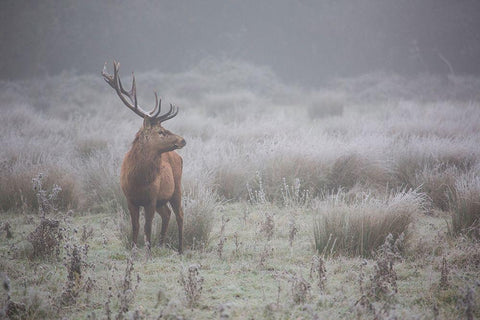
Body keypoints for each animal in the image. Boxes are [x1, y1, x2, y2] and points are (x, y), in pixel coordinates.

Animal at [102, 61, 187, 254]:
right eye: (161, 131)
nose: (182, 140)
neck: (138, 179)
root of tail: (178, 157)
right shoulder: (130, 199)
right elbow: (135, 226)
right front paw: (135, 249)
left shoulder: (151, 198)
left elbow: (147, 227)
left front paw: (148, 251)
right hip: (163, 200)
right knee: (167, 214)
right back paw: (162, 244)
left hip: (176, 187)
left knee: (179, 214)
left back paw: (180, 249)